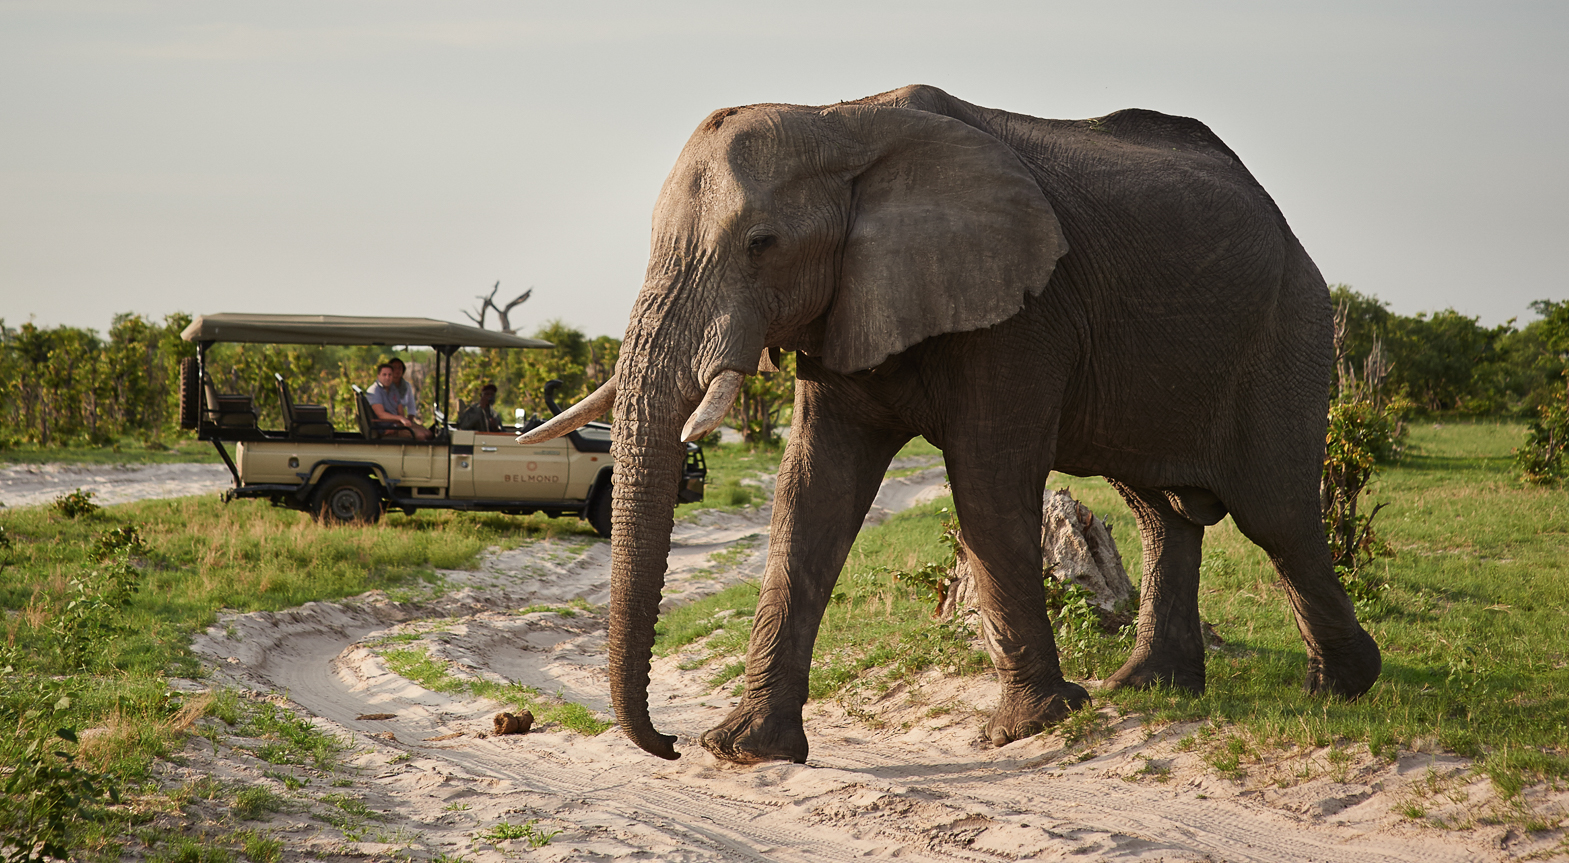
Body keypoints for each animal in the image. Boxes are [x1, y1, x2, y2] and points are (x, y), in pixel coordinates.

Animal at [520, 84, 1380, 768]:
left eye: (762, 244)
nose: (667, 742)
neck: (840, 122)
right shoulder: (848, 303)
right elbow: (811, 490)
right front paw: (745, 749)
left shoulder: (1022, 312)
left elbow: (987, 483)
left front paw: (1028, 728)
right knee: (1160, 511)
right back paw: (1148, 686)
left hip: (1291, 329)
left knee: (1276, 514)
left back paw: (1342, 688)